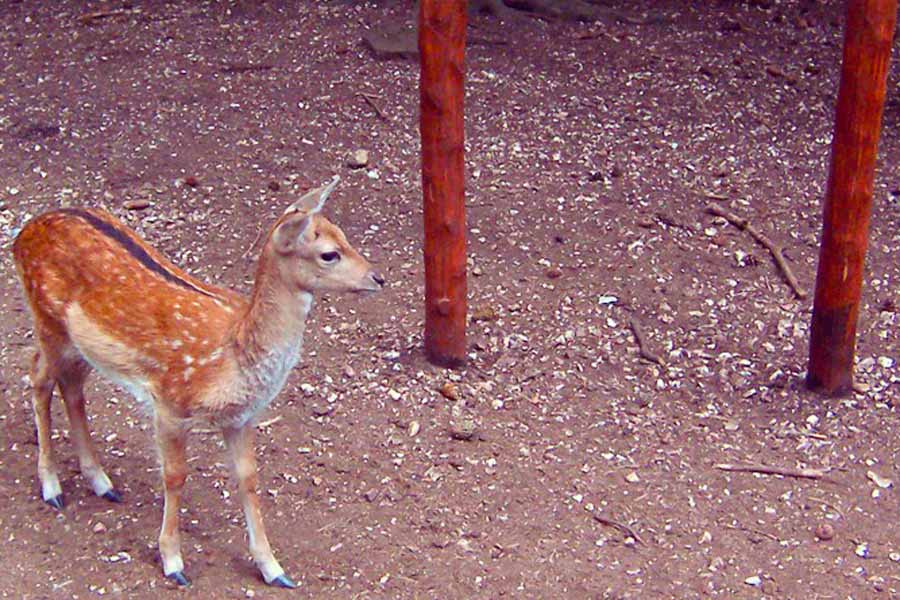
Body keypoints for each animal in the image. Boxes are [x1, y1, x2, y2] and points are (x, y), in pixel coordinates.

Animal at [11, 176, 384, 588]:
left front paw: (273, 569)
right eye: (329, 254)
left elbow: (248, 479)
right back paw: (52, 488)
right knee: (37, 376)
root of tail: (22, 234)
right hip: (47, 321)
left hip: (81, 345)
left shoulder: (242, 417)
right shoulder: (169, 403)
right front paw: (173, 562)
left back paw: (102, 483)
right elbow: (175, 477)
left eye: (345, 236)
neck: (234, 356)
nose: (378, 277)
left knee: (72, 386)